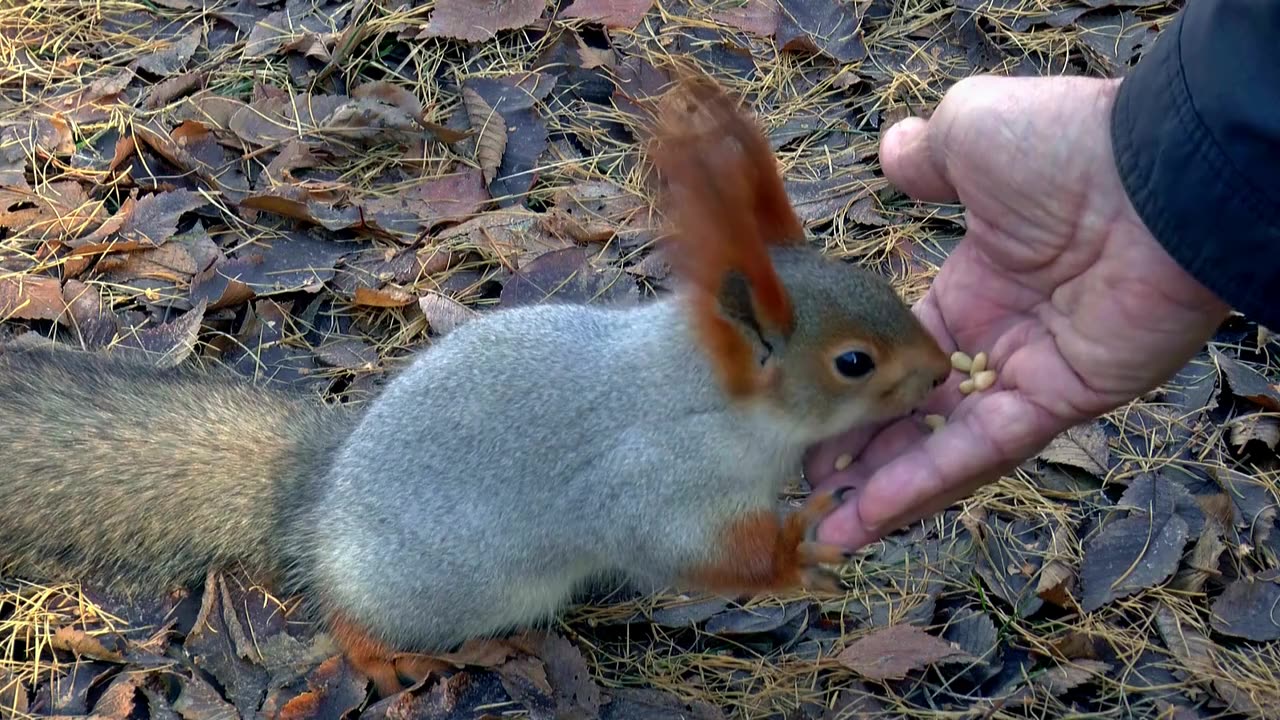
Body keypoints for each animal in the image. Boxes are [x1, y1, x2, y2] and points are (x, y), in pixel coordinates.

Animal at [0, 71, 952, 691]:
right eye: (854, 362)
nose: (944, 372)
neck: (712, 400)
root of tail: (317, 501)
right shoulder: (649, 481)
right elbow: (683, 551)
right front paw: (797, 553)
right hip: (440, 588)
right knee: (350, 619)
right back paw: (391, 657)